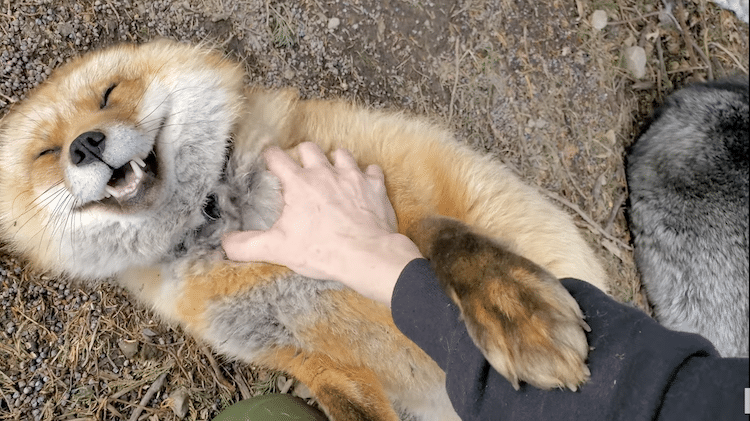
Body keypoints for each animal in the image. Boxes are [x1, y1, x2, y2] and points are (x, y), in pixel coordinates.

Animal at [0, 40, 608, 420]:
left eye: (108, 94)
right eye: (46, 152)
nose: (85, 145)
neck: (220, 216)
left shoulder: (387, 190)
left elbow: (440, 234)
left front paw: (513, 309)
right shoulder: (305, 359)